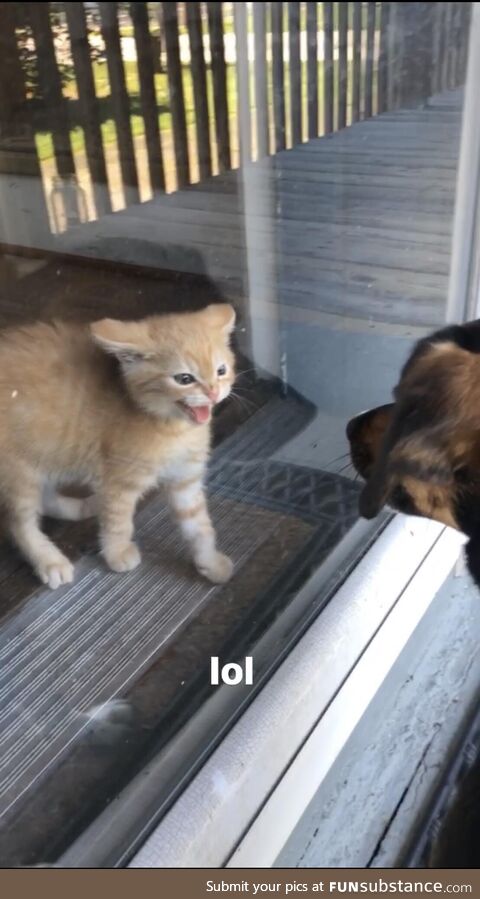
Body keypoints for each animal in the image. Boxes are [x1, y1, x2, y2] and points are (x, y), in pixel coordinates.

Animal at [0, 306, 236, 592]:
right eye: (184, 379)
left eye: (221, 370)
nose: (213, 393)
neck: (174, 430)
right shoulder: (118, 479)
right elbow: (118, 520)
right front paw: (117, 552)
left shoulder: (185, 479)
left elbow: (199, 525)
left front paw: (210, 562)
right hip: (18, 470)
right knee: (18, 523)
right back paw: (49, 561)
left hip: (44, 453)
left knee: (43, 498)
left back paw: (80, 508)